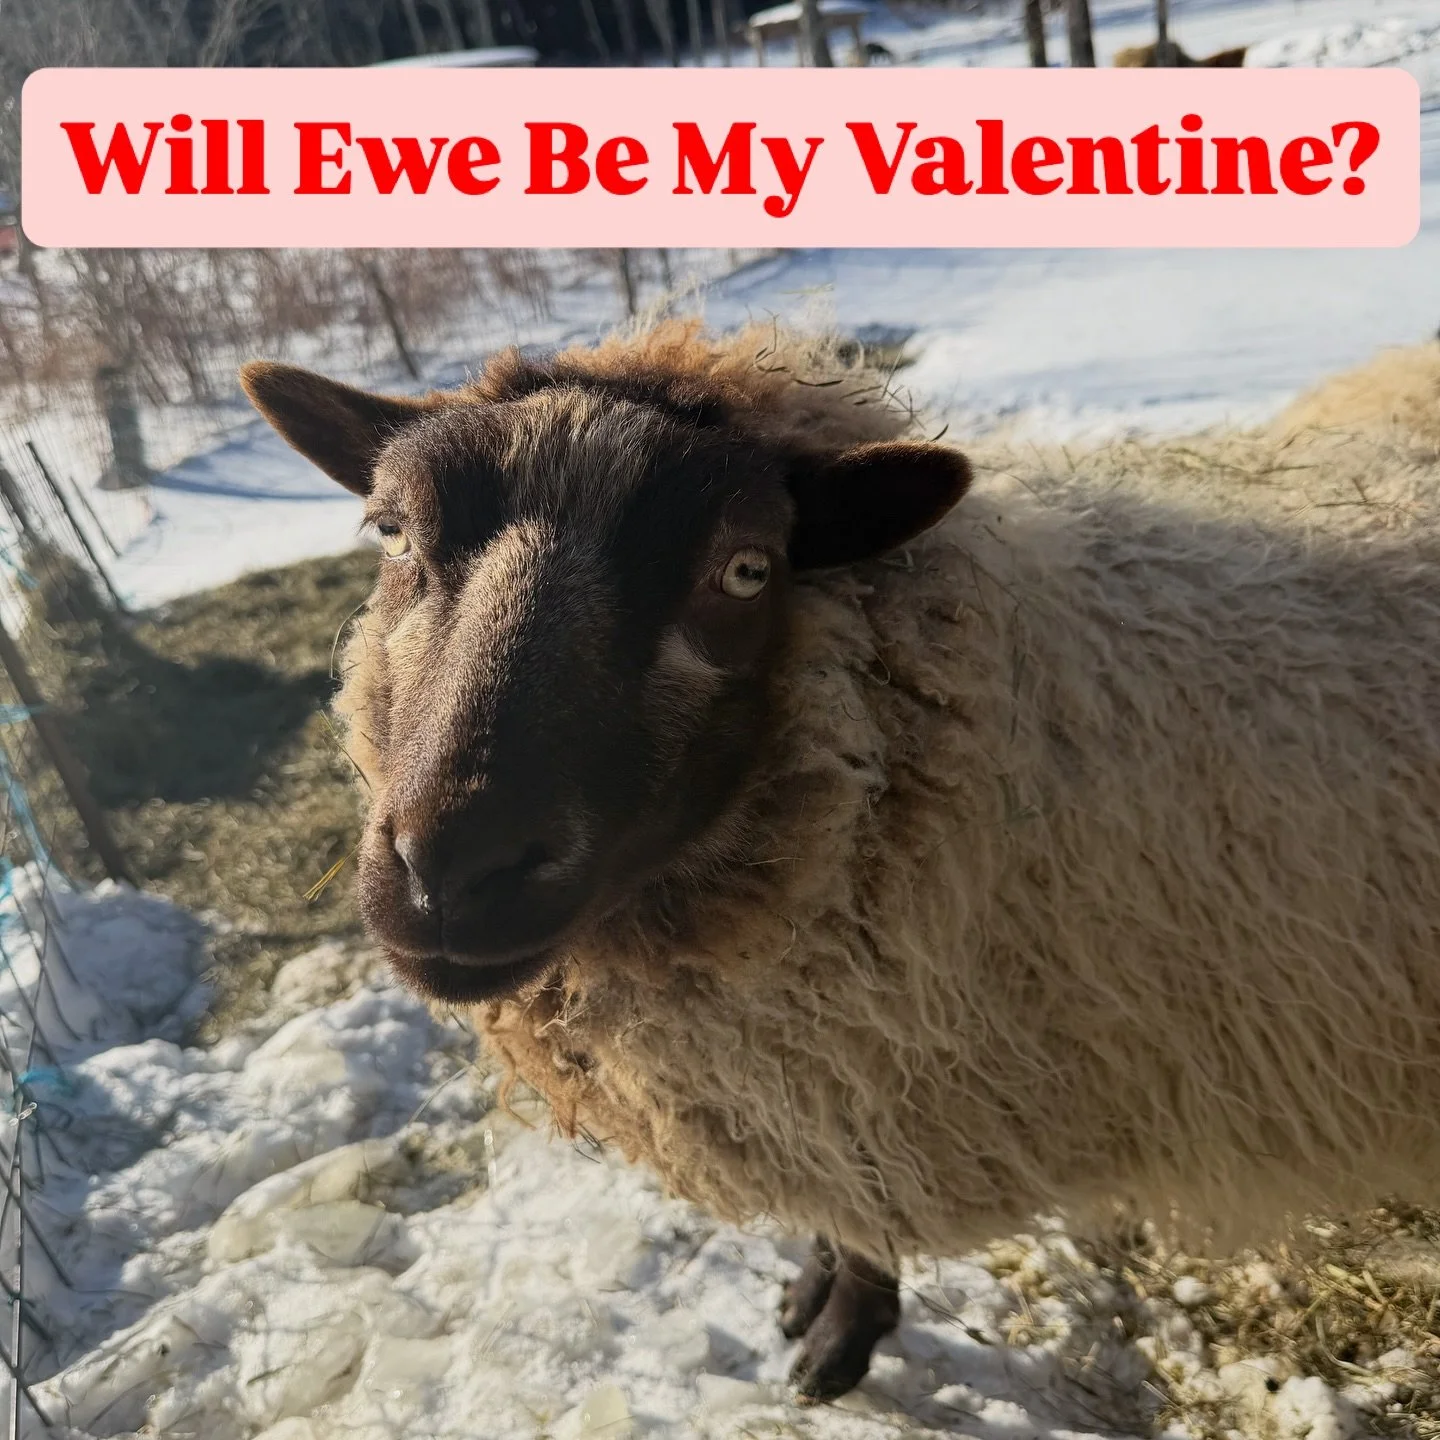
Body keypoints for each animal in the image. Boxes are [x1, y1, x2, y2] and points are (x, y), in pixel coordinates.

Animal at [241, 322, 1440, 1402]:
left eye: (744, 569)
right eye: (392, 533)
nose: (454, 872)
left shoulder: (879, 1084)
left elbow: (864, 1226)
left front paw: (837, 1341)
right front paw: (811, 1295)